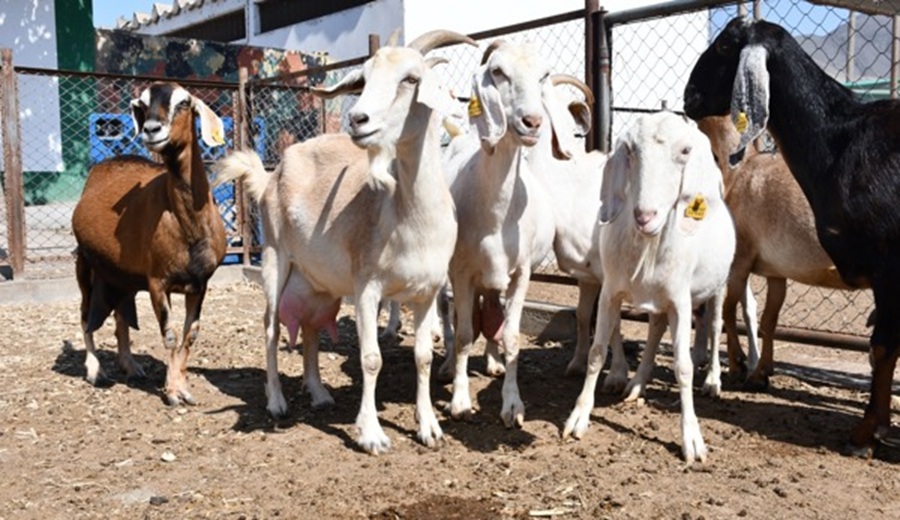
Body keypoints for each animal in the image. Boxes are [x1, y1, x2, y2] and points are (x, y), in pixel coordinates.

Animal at [71, 82, 227, 405]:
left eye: (184, 102)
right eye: (142, 105)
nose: (152, 130)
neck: (189, 227)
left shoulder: (201, 283)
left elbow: (190, 335)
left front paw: (182, 386)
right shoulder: (158, 281)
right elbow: (170, 335)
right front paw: (174, 392)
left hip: (121, 276)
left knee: (120, 315)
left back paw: (131, 365)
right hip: (85, 264)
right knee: (85, 315)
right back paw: (95, 370)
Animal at [215, 30, 476, 454]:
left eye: (411, 79)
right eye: (364, 80)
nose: (357, 119)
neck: (409, 217)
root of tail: (272, 174)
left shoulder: (428, 291)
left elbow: (422, 357)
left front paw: (430, 429)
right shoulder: (367, 285)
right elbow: (371, 358)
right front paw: (371, 434)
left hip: (317, 282)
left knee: (309, 328)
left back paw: (319, 393)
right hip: (274, 256)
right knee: (270, 327)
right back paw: (277, 402)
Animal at [442, 40, 581, 427]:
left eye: (544, 75)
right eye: (498, 71)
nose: (532, 122)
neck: (496, 214)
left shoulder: (521, 273)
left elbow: (513, 336)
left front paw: (512, 404)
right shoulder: (461, 272)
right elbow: (463, 334)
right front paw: (460, 401)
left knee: (492, 313)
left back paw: (492, 362)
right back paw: (449, 366)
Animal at [562, 112, 735, 463]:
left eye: (685, 150)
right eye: (629, 150)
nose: (645, 216)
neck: (648, 246)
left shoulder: (681, 301)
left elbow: (684, 366)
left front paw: (692, 439)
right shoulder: (611, 292)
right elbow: (597, 353)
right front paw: (578, 417)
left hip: (719, 284)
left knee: (713, 325)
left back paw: (713, 380)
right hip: (659, 299)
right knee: (655, 329)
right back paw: (637, 385)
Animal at [683, 17, 898, 458]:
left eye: (726, 45)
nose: (688, 95)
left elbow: (730, 309)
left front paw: (865, 434)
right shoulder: (774, 269)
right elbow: (767, 318)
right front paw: (760, 371)